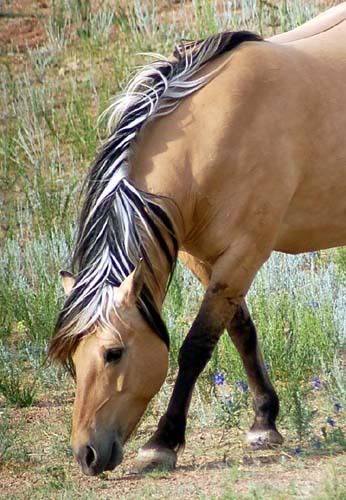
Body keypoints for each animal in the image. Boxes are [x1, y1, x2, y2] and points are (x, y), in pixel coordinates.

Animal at [48, 5, 346, 478]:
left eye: (113, 353)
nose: (86, 455)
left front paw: (163, 442)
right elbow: (241, 331)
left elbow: (197, 346)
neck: (216, 132)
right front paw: (264, 422)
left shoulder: (243, 255)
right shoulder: (205, 260)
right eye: (72, 358)